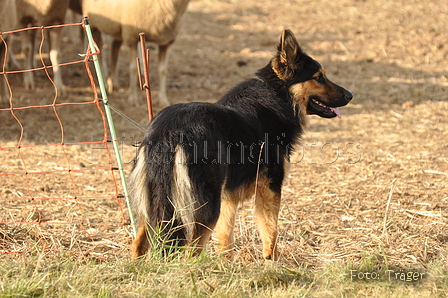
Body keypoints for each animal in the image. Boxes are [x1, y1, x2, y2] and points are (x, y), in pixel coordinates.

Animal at [128, 29, 352, 260]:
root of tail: (170, 130)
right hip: (204, 207)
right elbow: (270, 231)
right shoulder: (270, 186)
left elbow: (226, 236)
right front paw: (272, 260)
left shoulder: (228, 196)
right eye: (318, 77)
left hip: (154, 205)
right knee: (191, 252)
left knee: (138, 244)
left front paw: (225, 262)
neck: (278, 95)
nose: (350, 96)